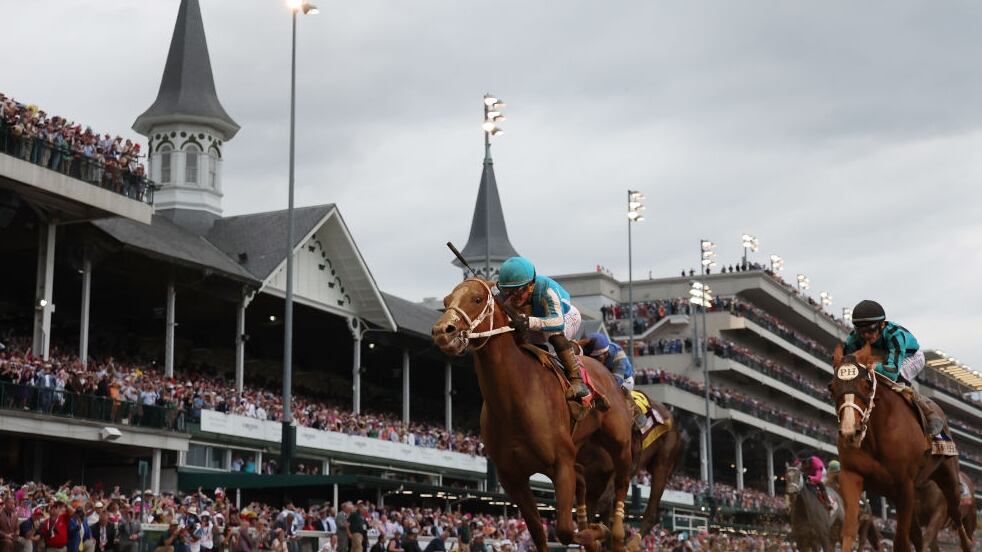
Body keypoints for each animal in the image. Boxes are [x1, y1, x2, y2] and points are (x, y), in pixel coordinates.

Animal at [431, 278, 635, 552]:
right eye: (446, 301)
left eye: (476, 299)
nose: (443, 331)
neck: (515, 401)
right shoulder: (512, 477)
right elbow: (539, 532)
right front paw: (591, 532)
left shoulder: (561, 465)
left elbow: (564, 530)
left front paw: (598, 531)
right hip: (584, 449)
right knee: (584, 480)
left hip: (618, 443)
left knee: (622, 481)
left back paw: (617, 531)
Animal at [830, 343, 972, 552]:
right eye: (831, 387)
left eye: (866, 384)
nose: (850, 432)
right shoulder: (852, 475)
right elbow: (848, 532)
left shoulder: (904, 484)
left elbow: (901, 542)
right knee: (919, 537)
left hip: (948, 480)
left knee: (960, 525)